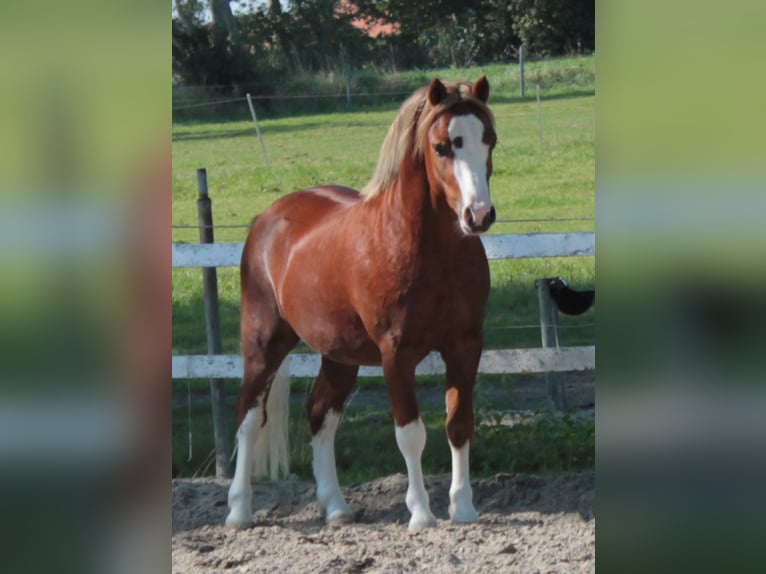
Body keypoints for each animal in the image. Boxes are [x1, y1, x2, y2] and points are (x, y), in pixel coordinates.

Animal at [226, 76, 498, 531]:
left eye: (488, 139)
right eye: (442, 146)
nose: (478, 215)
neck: (427, 250)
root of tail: (268, 218)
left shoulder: (465, 345)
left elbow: (459, 424)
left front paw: (463, 509)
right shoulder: (396, 355)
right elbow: (410, 434)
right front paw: (421, 513)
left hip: (340, 355)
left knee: (320, 413)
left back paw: (336, 507)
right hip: (264, 343)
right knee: (249, 417)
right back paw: (239, 511)